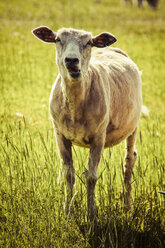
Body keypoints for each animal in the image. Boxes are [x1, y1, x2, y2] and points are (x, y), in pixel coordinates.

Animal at [32, 26, 142, 221]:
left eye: (89, 42)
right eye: (58, 39)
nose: (71, 60)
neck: (75, 106)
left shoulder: (99, 136)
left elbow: (91, 177)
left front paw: (90, 216)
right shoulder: (60, 135)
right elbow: (69, 175)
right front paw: (67, 212)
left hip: (133, 126)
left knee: (129, 161)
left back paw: (128, 207)